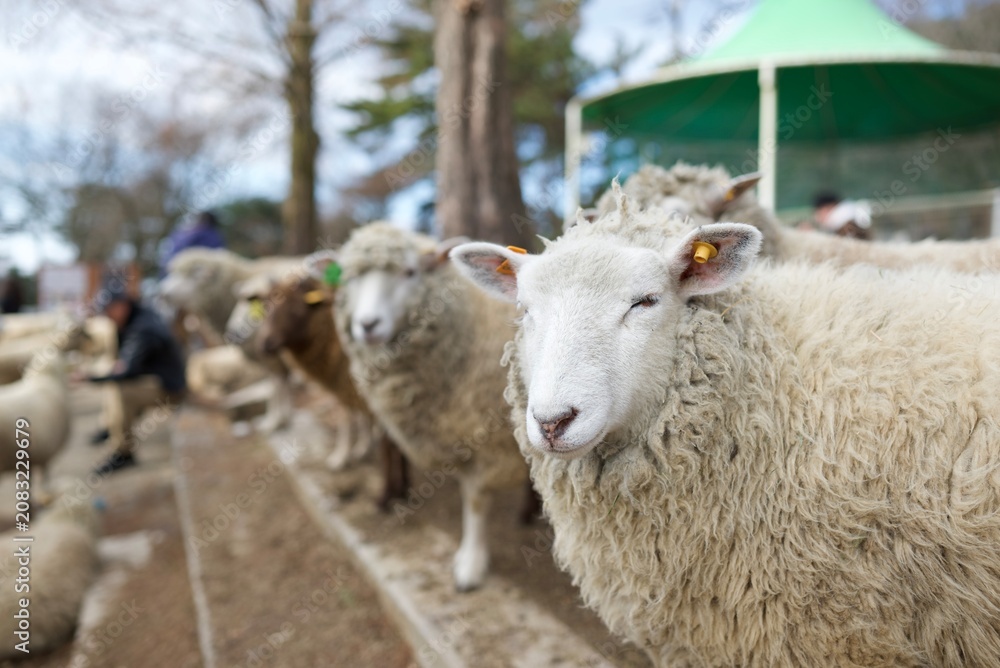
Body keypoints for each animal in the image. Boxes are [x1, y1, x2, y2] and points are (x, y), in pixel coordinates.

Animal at [258, 271, 410, 508]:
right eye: (266, 306)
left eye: (296, 309)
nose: (265, 343)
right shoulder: (358, 393)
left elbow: (376, 438)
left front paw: (388, 494)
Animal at [333, 223, 530, 591]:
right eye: (349, 279)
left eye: (410, 272)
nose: (367, 325)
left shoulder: (485, 440)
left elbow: (476, 500)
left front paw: (470, 564)